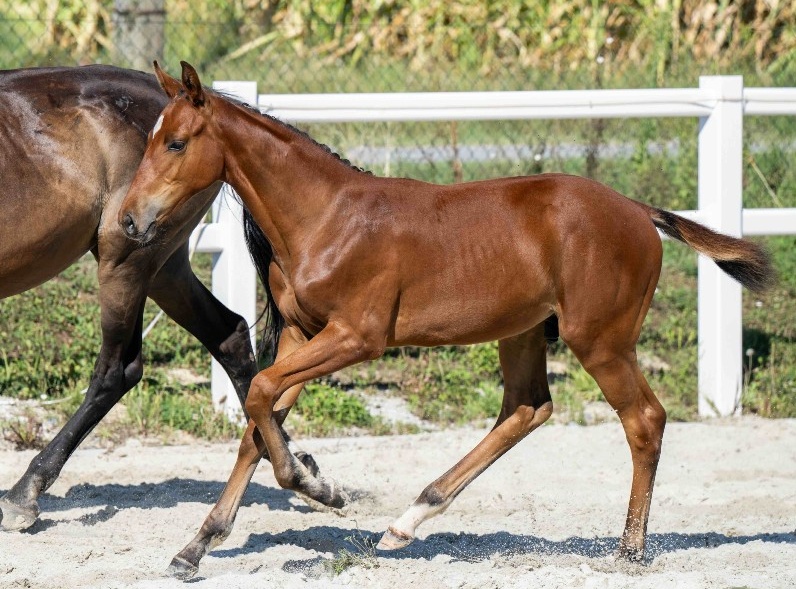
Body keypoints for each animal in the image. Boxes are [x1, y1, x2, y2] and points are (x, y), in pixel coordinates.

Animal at [0, 65, 330, 531]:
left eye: (174, 143)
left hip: (128, 258)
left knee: (117, 370)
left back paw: (24, 493)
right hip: (163, 263)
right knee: (228, 334)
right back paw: (305, 472)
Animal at [119, 61, 775, 579]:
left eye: (175, 143)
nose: (127, 220)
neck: (326, 218)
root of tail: (638, 211)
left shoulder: (357, 337)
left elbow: (258, 396)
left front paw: (316, 485)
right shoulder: (303, 335)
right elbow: (257, 422)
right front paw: (195, 547)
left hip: (601, 340)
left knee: (643, 419)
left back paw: (629, 551)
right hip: (523, 331)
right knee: (527, 408)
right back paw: (407, 522)